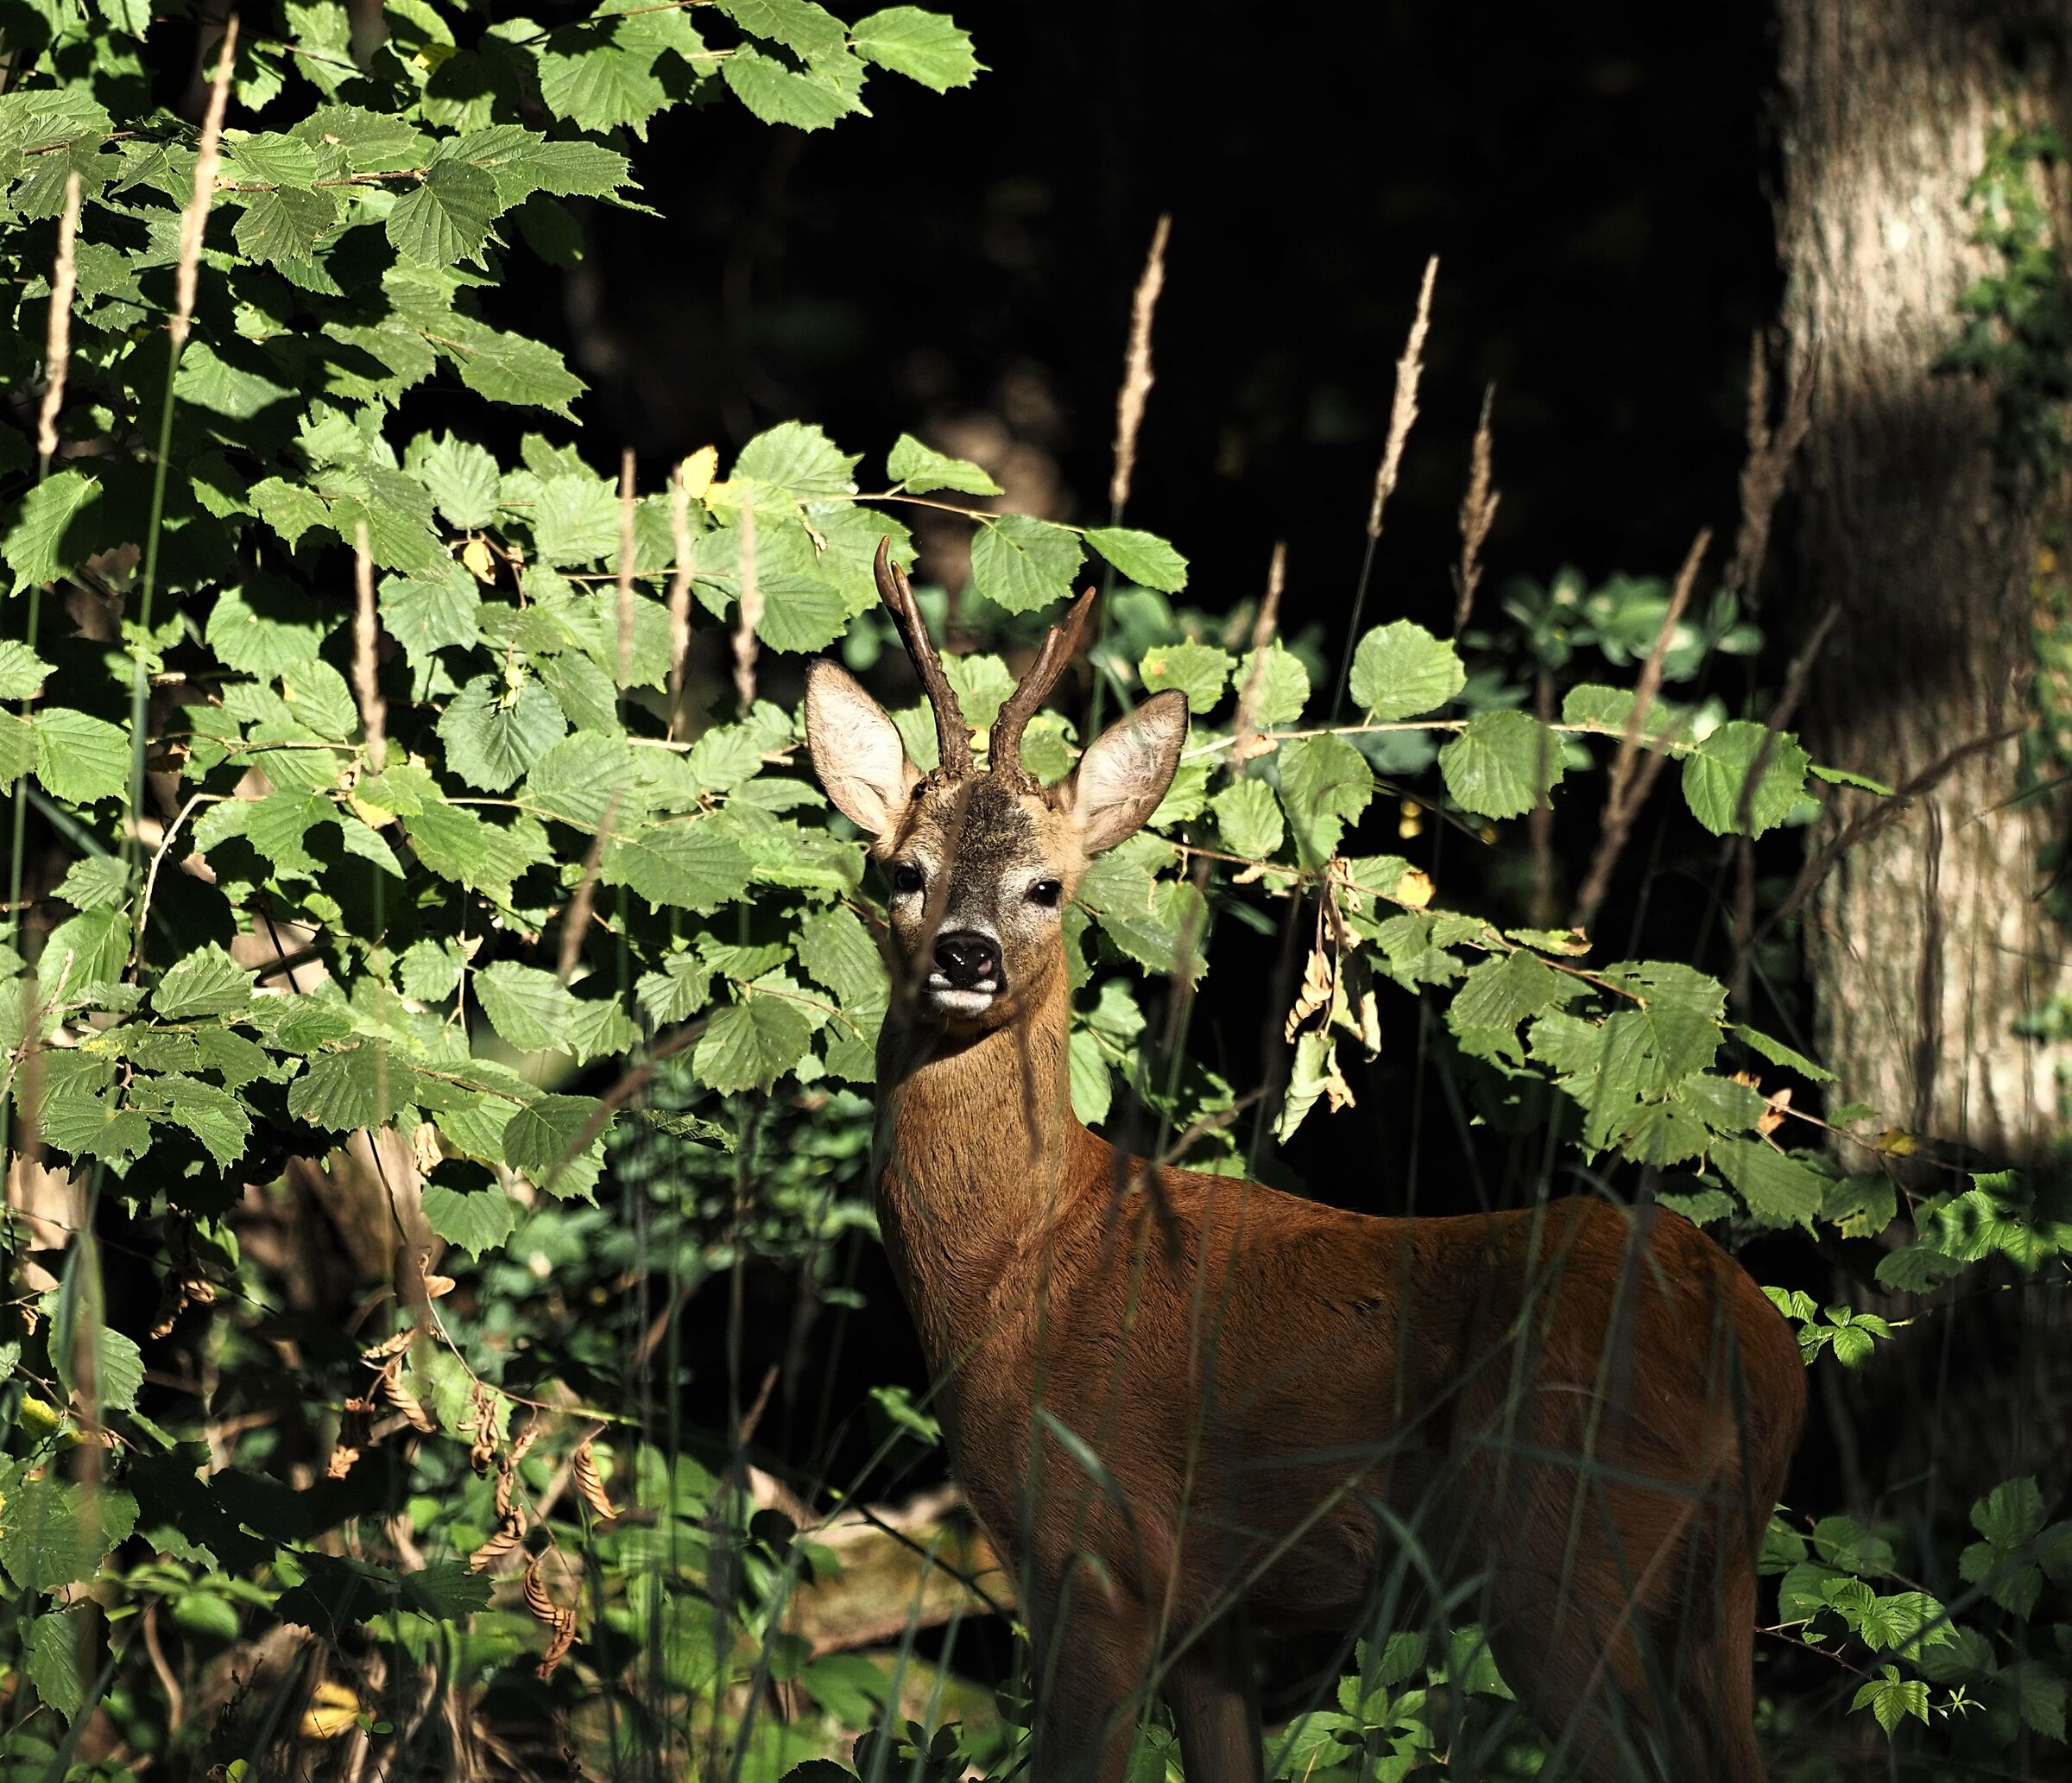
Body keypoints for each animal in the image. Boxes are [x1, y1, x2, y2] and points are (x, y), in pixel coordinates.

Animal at [801, 541, 1807, 1783]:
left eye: (1047, 884)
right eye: (903, 870)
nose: (965, 954)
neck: (1019, 1262)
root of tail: (1753, 1343)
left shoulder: (1101, 1559)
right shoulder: (1213, 1620)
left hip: (1563, 1552)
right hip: (1708, 1591)